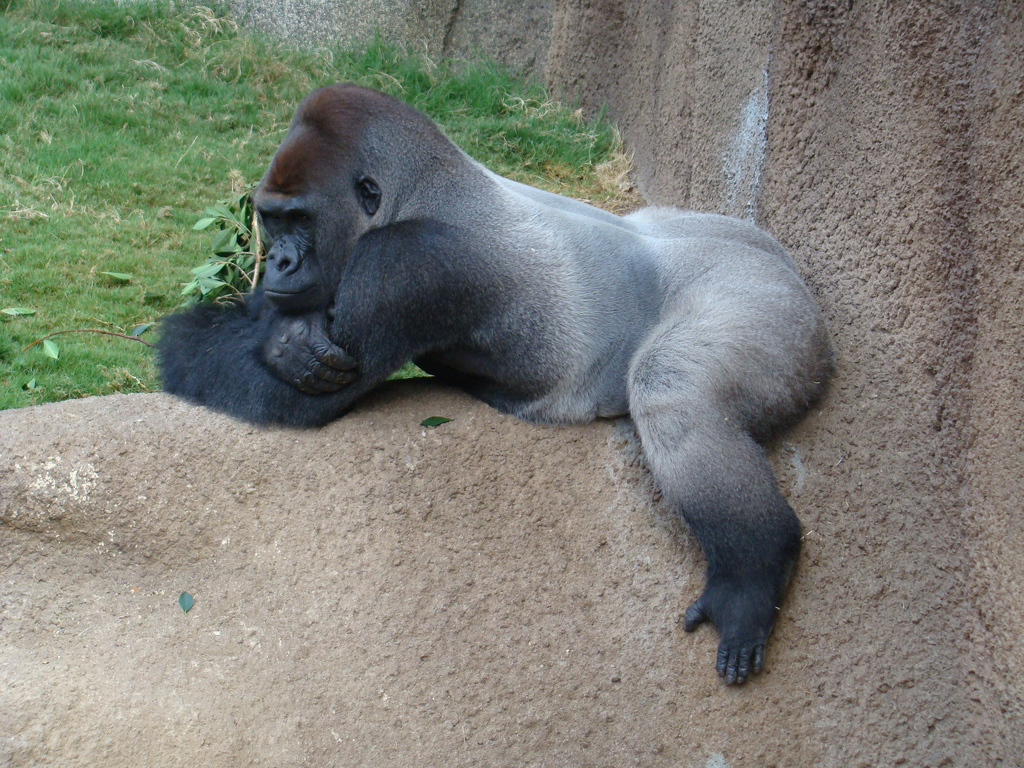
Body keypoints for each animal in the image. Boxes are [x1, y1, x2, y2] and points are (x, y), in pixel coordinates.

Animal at [158, 83, 833, 684]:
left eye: (298, 219)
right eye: (269, 220)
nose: (276, 261)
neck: (427, 190)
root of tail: (787, 269)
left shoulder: (403, 267)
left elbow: (279, 395)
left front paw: (281, 346)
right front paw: (280, 336)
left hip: (767, 300)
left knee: (671, 386)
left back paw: (753, 572)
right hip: (715, 235)